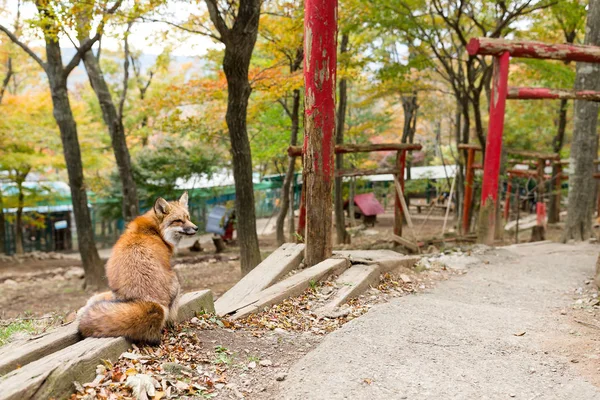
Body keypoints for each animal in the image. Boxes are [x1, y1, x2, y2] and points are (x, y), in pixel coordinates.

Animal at [77, 192, 198, 346]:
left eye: (188, 217)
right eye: (178, 221)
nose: (196, 228)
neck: (155, 230)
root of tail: (151, 302)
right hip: (176, 280)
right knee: (169, 318)